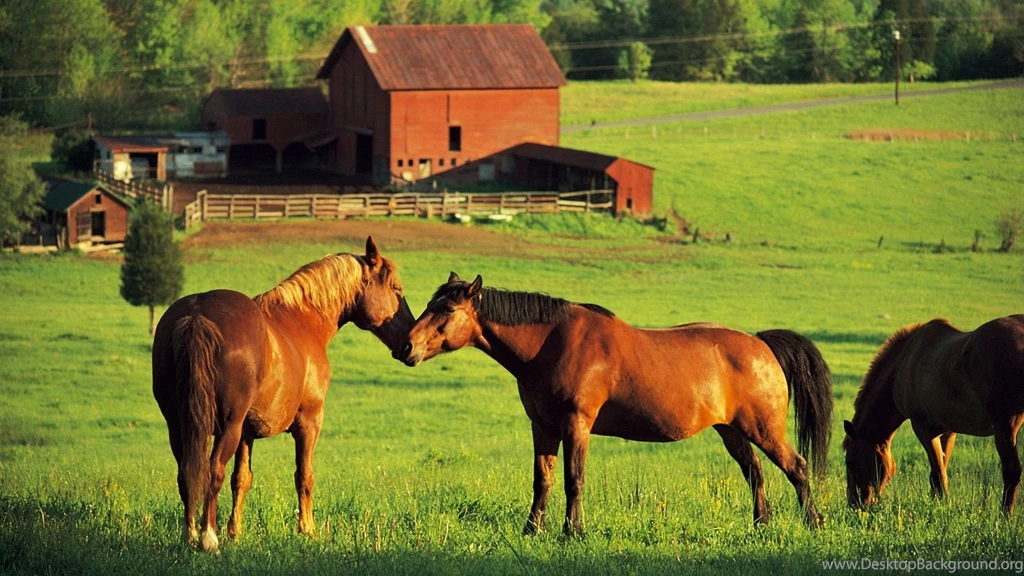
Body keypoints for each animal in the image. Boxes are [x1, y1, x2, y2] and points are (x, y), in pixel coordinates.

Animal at [152, 237, 413, 553]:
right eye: (396, 288)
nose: (409, 344)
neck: (302, 320)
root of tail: (197, 314)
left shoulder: (247, 433)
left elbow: (242, 479)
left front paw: (235, 532)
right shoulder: (309, 422)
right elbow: (304, 476)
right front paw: (307, 530)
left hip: (180, 426)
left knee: (188, 472)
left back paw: (190, 535)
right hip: (227, 426)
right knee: (213, 471)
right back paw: (207, 538)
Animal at [398, 273, 834, 535]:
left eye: (447, 309)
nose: (406, 347)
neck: (551, 342)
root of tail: (761, 343)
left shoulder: (577, 424)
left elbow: (574, 479)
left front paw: (572, 532)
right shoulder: (543, 426)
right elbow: (543, 480)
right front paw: (532, 530)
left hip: (763, 429)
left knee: (797, 467)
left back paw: (814, 522)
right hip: (732, 431)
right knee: (755, 473)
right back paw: (761, 525)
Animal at [843, 315, 1024, 514]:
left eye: (850, 461)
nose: (854, 504)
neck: (904, 362)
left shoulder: (923, 428)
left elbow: (937, 472)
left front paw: (941, 507)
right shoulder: (948, 432)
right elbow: (940, 469)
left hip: (1005, 426)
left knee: (1011, 471)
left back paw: (1005, 515)